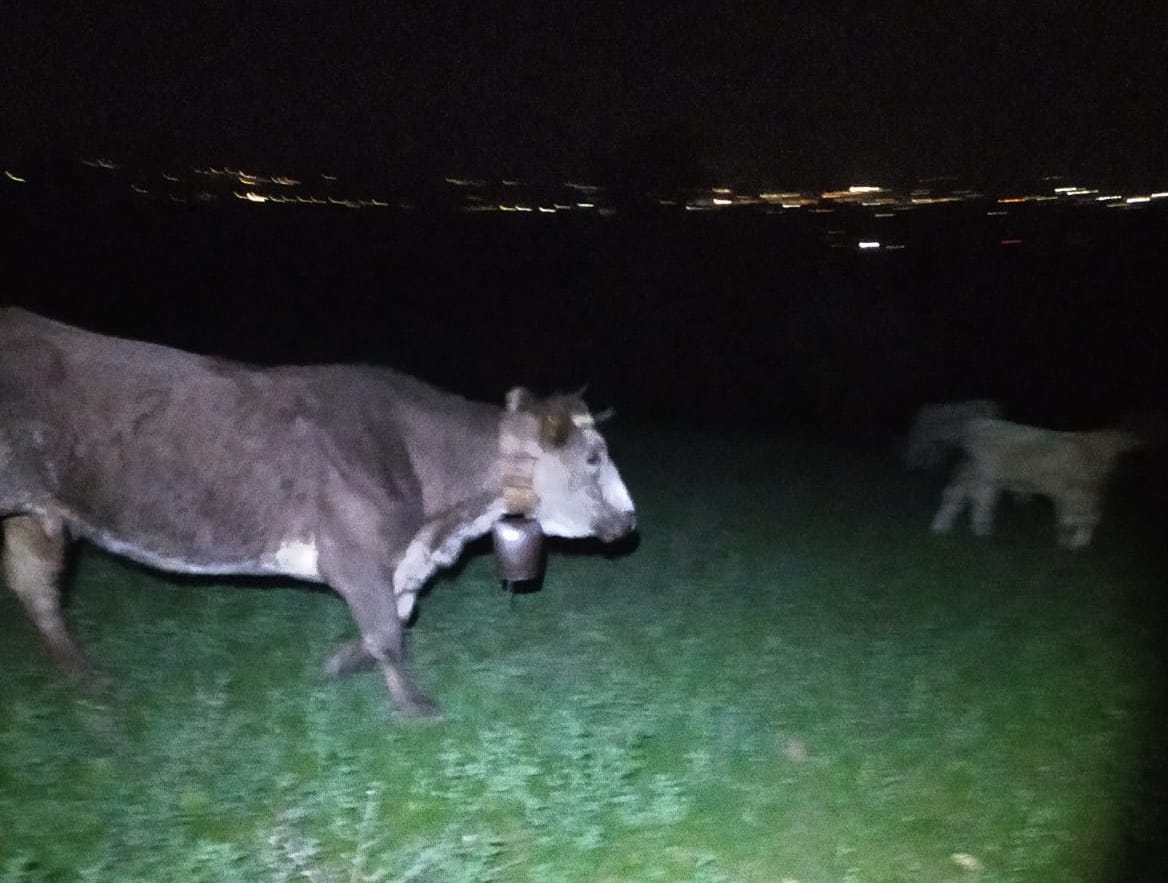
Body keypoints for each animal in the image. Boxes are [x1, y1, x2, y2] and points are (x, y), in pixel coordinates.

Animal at [0, 310, 640, 719]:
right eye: (593, 457)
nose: (632, 522)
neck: (441, 519)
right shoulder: (353, 549)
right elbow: (388, 633)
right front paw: (414, 706)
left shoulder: (398, 558)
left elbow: (394, 619)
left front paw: (338, 663)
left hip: (32, 515)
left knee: (38, 592)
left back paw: (87, 681)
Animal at [929, 418, 1139, 548]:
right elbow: (1071, 520)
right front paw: (1071, 543)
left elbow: (1078, 519)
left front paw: (1074, 543)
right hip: (980, 475)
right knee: (965, 497)